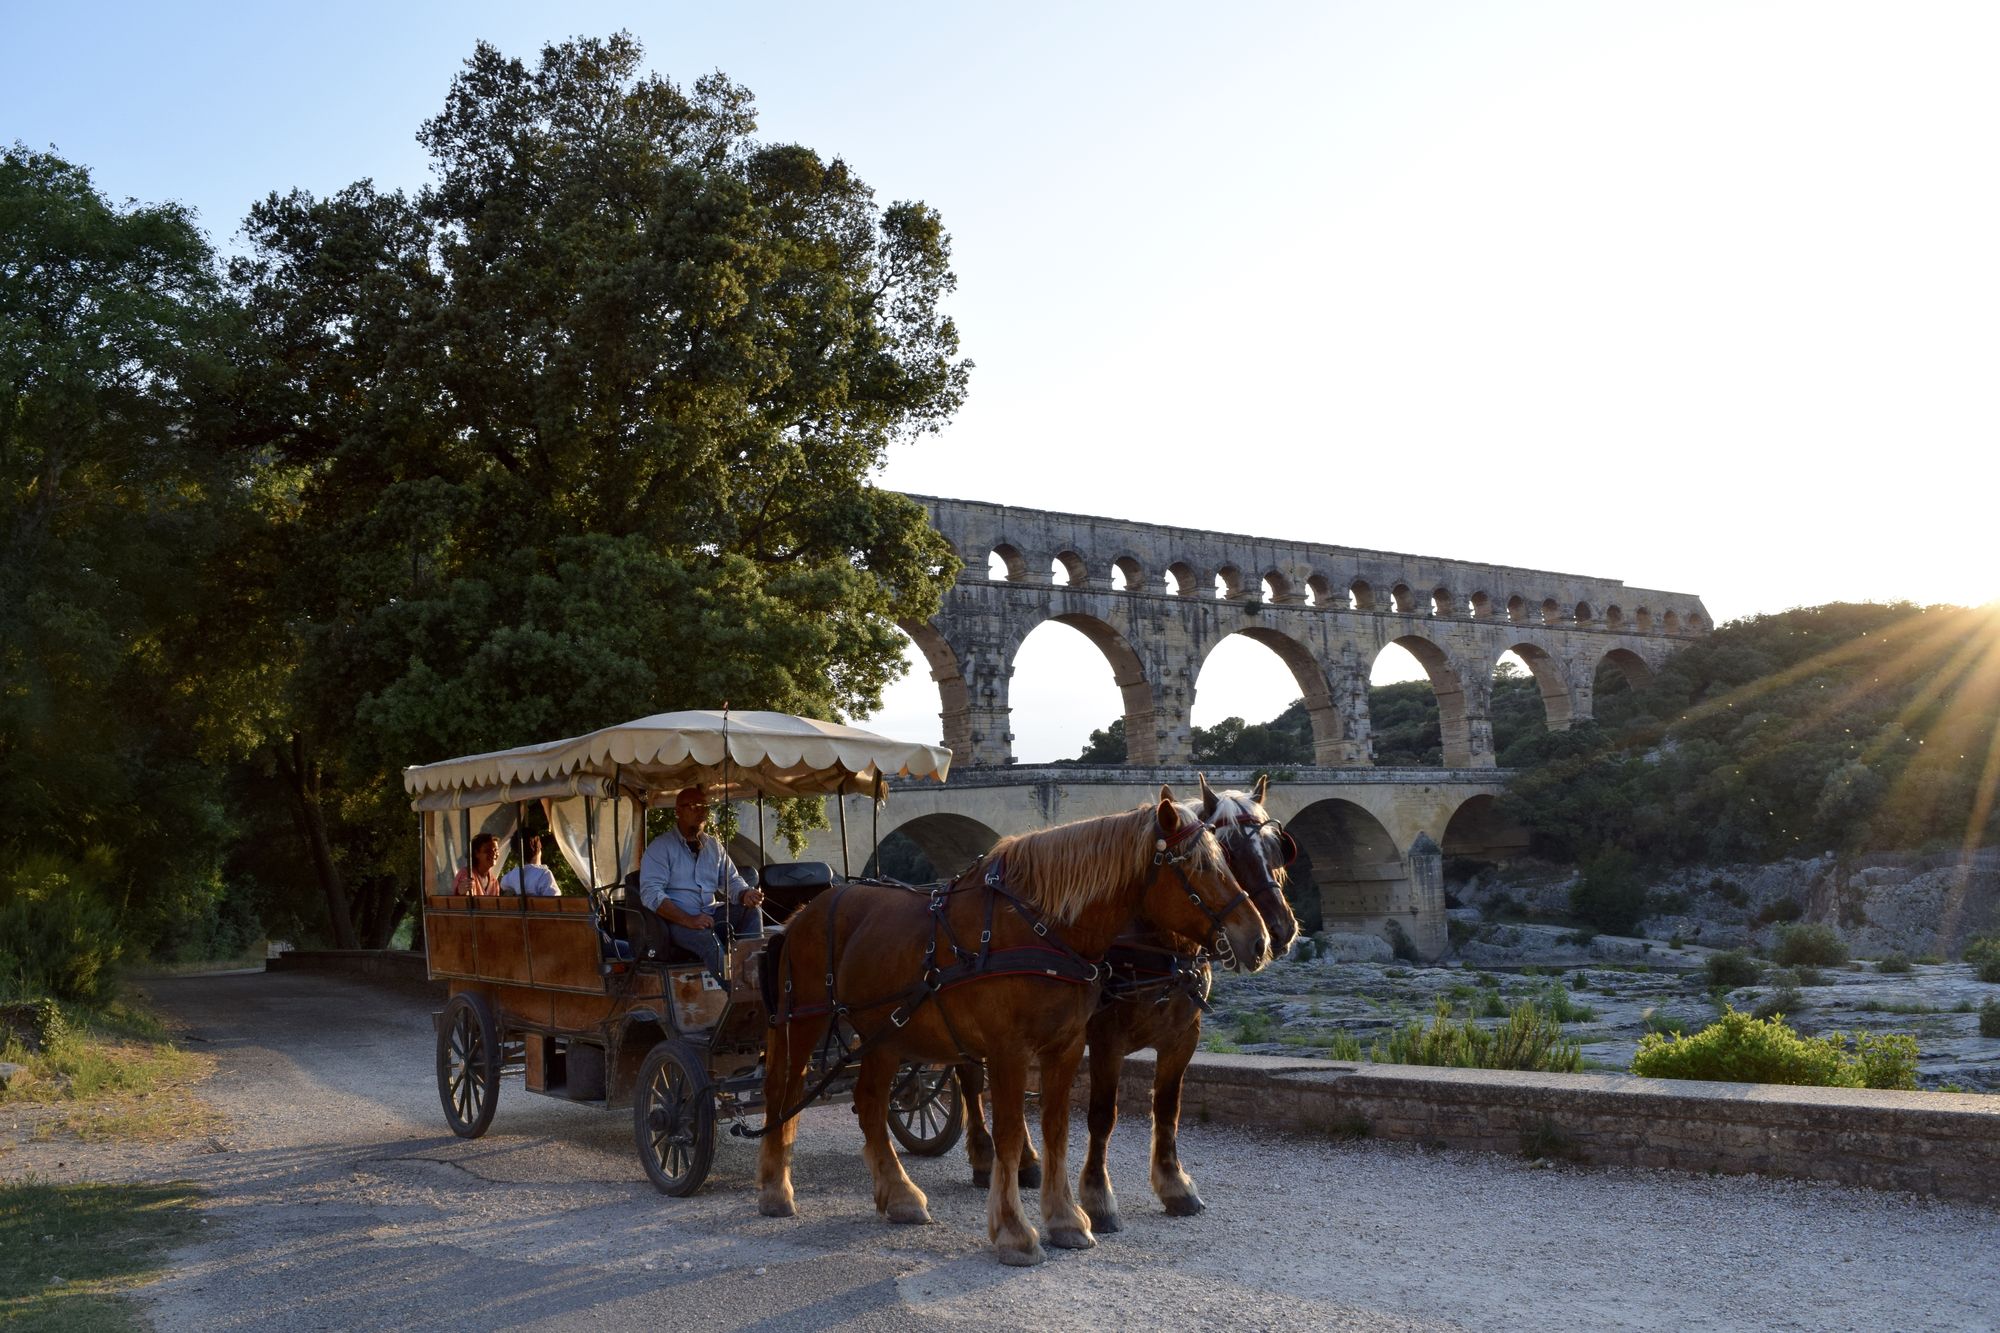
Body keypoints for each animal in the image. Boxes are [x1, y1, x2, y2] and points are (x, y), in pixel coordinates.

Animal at [752, 784, 1264, 1264]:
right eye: (1197, 865)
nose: (1259, 938)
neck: (1039, 928)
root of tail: (804, 913)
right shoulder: (1009, 1052)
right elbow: (1012, 1134)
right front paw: (1015, 1230)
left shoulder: (1068, 1047)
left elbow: (1056, 1128)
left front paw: (1065, 1219)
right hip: (805, 1022)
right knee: (784, 1094)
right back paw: (776, 1188)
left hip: (884, 1036)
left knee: (871, 1105)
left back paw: (899, 1195)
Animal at [956, 780, 1304, 1224]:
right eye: (1226, 850)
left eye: (1276, 849)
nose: (1274, 933)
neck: (1159, 950)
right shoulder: (1107, 1040)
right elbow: (1103, 1115)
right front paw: (1097, 1195)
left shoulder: (1182, 1039)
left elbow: (1168, 1109)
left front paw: (1174, 1184)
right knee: (971, 1080)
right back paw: (986, 1156)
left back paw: (1026, 1161)